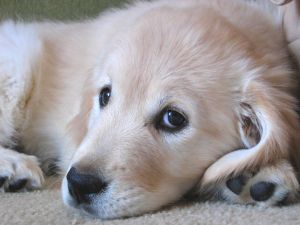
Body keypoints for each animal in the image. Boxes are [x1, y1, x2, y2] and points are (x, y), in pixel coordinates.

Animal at [0, 0, 298, 219]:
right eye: (105, 95)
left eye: (173, 118)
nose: (79, 184)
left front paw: (255, 171)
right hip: (19, 60)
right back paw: (12, 166)